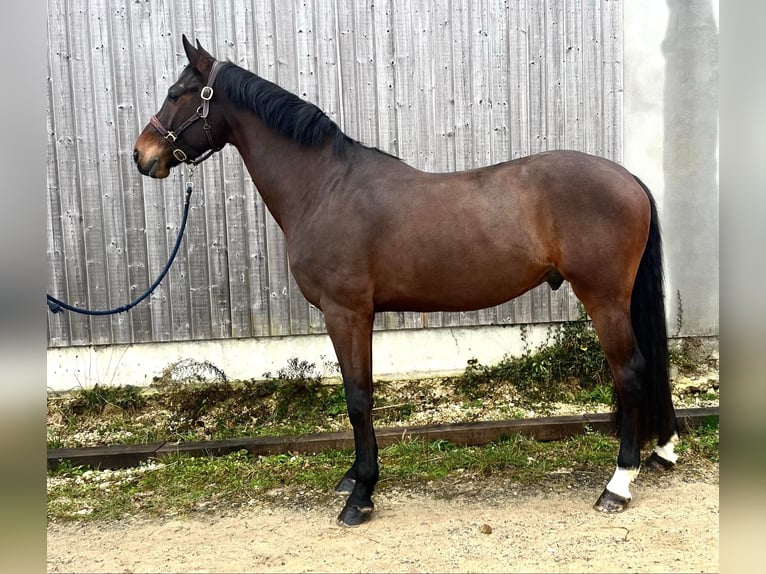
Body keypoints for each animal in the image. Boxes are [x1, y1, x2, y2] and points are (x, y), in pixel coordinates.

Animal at [134, 36, 679, 527]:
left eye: (178, 93)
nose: (142, 155)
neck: (324, 187)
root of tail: (628, 179)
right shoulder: (358, 316)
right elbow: (361, 393)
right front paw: (354, 478)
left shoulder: (347, 312)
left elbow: (357, 398)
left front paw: (361, 495)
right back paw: (664, 451)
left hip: (603, 297)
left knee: (631, 371)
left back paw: (617, 485)